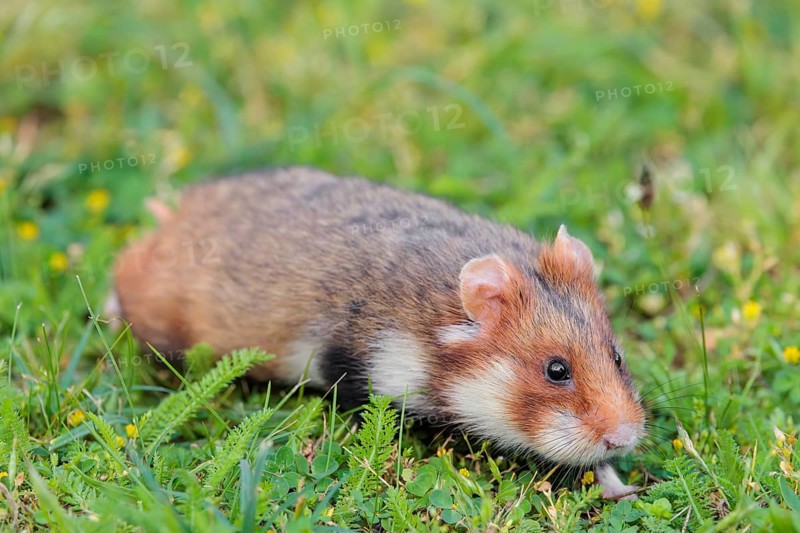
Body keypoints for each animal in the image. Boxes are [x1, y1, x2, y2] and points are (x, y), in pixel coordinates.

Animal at [112, 167, 645, 499]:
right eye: (556, 370)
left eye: (617, 357)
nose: (625, 436)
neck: (436, 333)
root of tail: (171, 217)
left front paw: (622, 487)